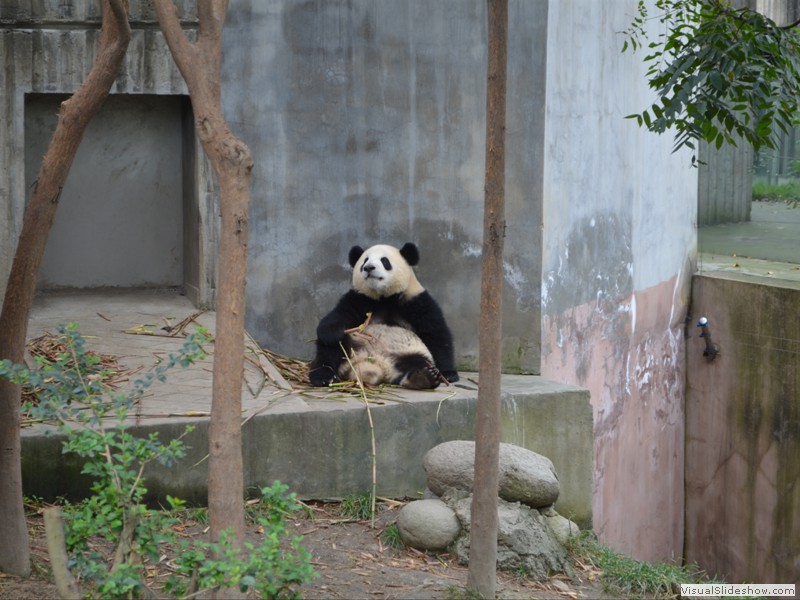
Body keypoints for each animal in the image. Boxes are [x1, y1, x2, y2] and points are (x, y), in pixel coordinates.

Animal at [310, 243, 460, 390]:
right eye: (365, 260)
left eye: (385, 261)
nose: (368, 268)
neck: (385, 297)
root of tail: (377, 364)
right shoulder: (360, 298)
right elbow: (339, 315)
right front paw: (331, 334)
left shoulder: (415, 300)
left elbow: (436, 334)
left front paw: (448, 374)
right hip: (352, 344)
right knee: (330, 351)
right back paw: (323, 376)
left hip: (409, 352)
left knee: (418, 362)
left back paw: (424, 377)